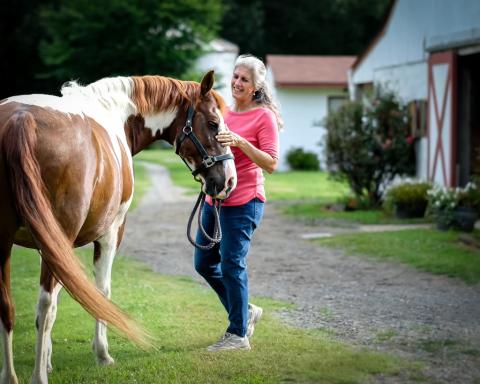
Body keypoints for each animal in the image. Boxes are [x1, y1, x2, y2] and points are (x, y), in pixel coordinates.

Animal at [0, 70, 236, 382]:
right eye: (212, 123)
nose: (229, 180)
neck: (115, 114)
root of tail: (21, 119)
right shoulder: (110, 233)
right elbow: (102, 291)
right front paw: (102, 354)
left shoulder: (53, 244)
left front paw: (49, 358)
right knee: (45, 305)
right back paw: (38, 376)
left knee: (8, 305)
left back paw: (10, 375)